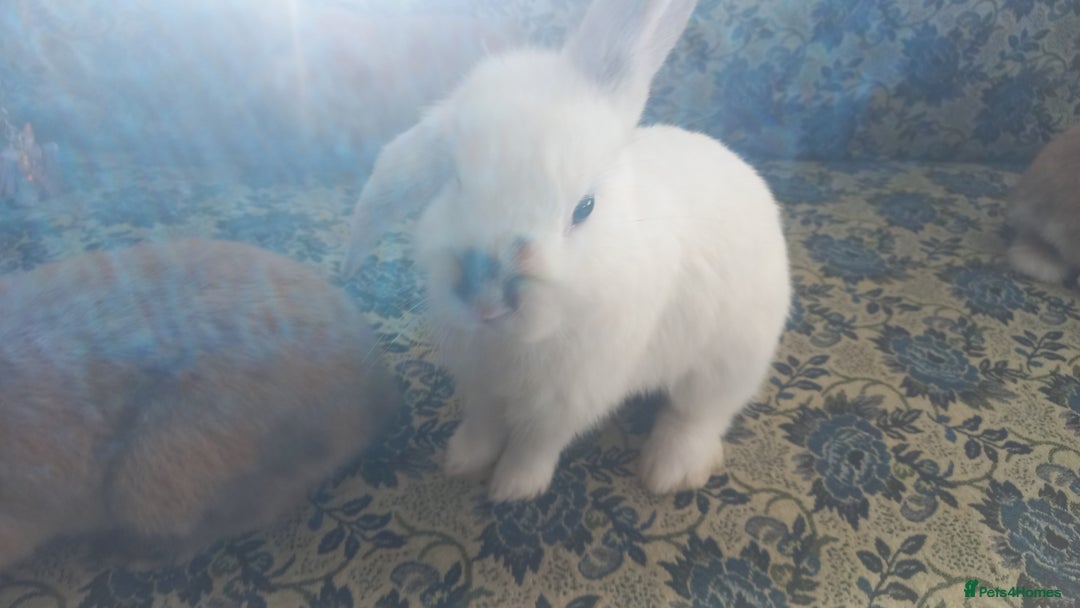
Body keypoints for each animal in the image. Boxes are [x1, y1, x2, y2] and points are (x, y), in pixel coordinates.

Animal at [341, 0, 790, 502]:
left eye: (585, 208)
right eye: (455, 181)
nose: (486, 302)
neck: (512, 344)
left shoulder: (567, 398)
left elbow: (536, 443)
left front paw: (514, 489)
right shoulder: (481, 383)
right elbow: (483, 425)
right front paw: (461, 462)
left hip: (729, 361)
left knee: (697, 416)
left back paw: (668, 472)